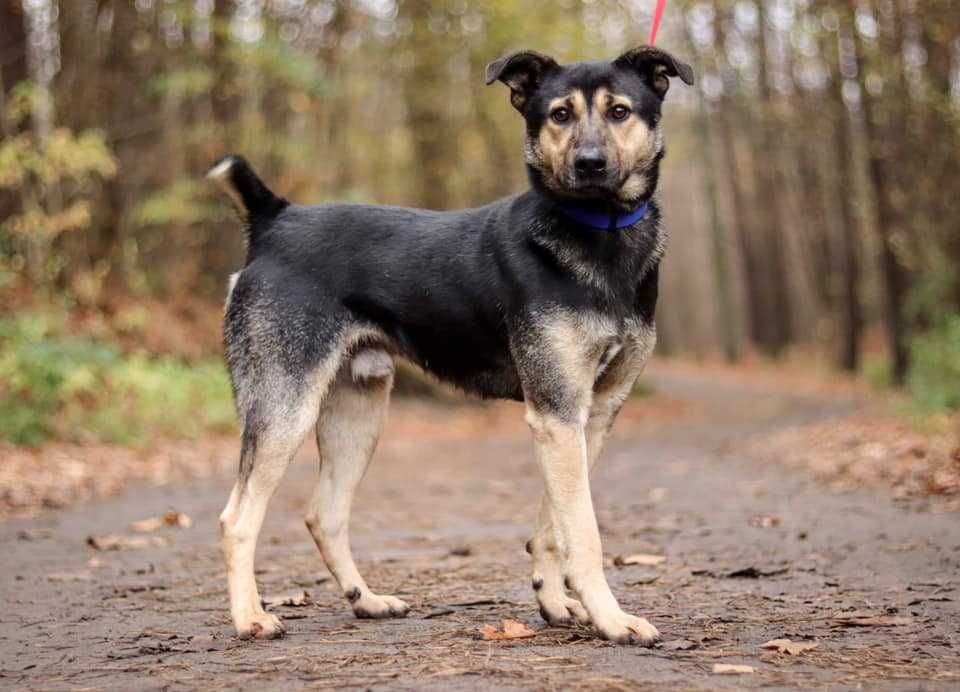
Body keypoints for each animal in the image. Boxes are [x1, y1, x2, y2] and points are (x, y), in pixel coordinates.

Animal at [208, 47, 688, 644]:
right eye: (559, 114)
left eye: (619, 111)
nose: (590, 163)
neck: (599, 235)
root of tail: (275, 219)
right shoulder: (557, 413)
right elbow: (584, 533)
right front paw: (611, 618)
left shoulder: (589, 416)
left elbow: (553, 524)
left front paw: (555, 603)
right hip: (285, 408)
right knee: (238, 518)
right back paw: (250, 617)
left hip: (358, 414)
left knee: (325, 514)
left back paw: (367, 600)